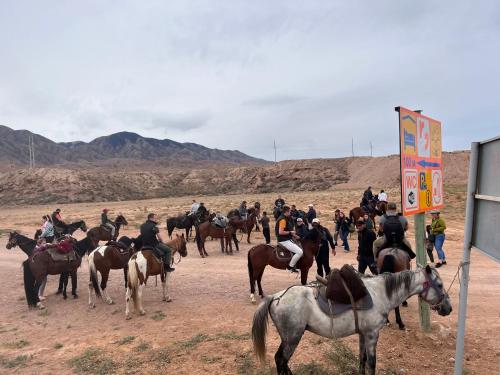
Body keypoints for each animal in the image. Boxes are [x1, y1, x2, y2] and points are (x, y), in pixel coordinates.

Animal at [252, 266, 452, 375]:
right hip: (292, 337)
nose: (448, 308)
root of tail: (276, 297)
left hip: (287, 338)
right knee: (281, 360)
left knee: (281, 361)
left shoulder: (363, 334)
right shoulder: (372, 334)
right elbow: (372, 362)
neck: (380, 293)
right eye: (439, 285)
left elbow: (362, 359)